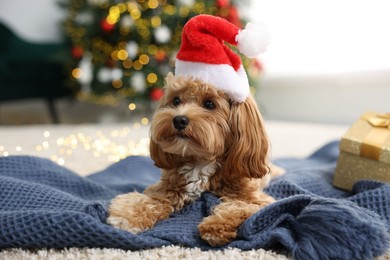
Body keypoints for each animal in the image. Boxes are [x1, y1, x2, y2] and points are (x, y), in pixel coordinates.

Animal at [106, 72, 278, 246]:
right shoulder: (166, 189)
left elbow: (239, 207)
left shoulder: (258, 201)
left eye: (209, 104)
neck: (200, 160)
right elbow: (148, 200)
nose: (179, 120)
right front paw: (129, 217)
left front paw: (216, 225)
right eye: (176, 100)